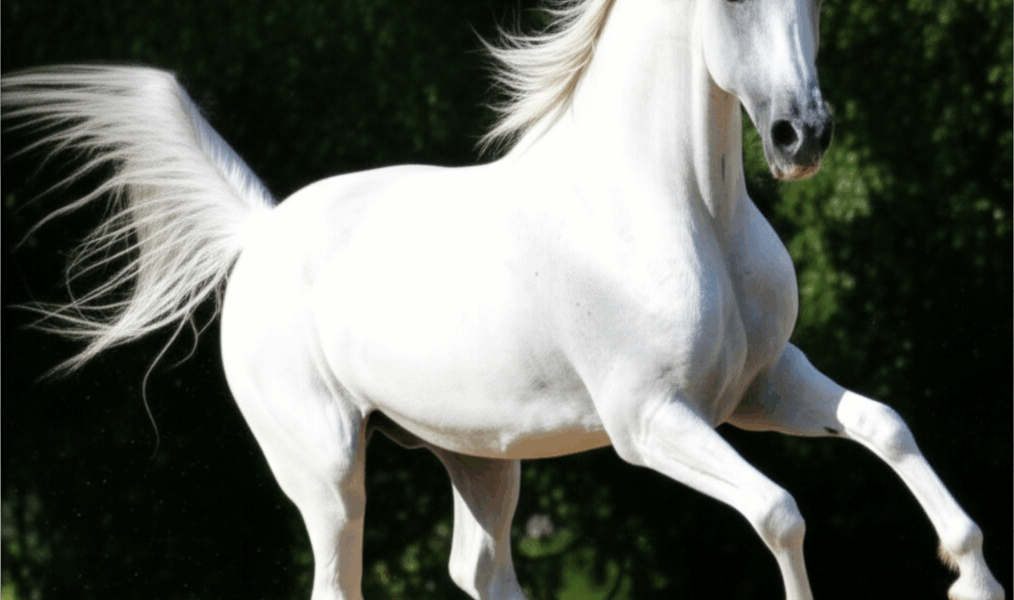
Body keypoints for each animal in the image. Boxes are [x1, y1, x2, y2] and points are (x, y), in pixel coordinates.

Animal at [1, 0, 1004, 599]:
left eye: (813, 1)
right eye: (727, 2)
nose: (803, 136)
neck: (677, 204)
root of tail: (262, 232)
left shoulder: (762, 389)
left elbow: (885, 426)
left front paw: (971, 576)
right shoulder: (653, 423)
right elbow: (780, 513)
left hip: (480, 458)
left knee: (478, 569)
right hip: (326, 471)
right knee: (339, 577)